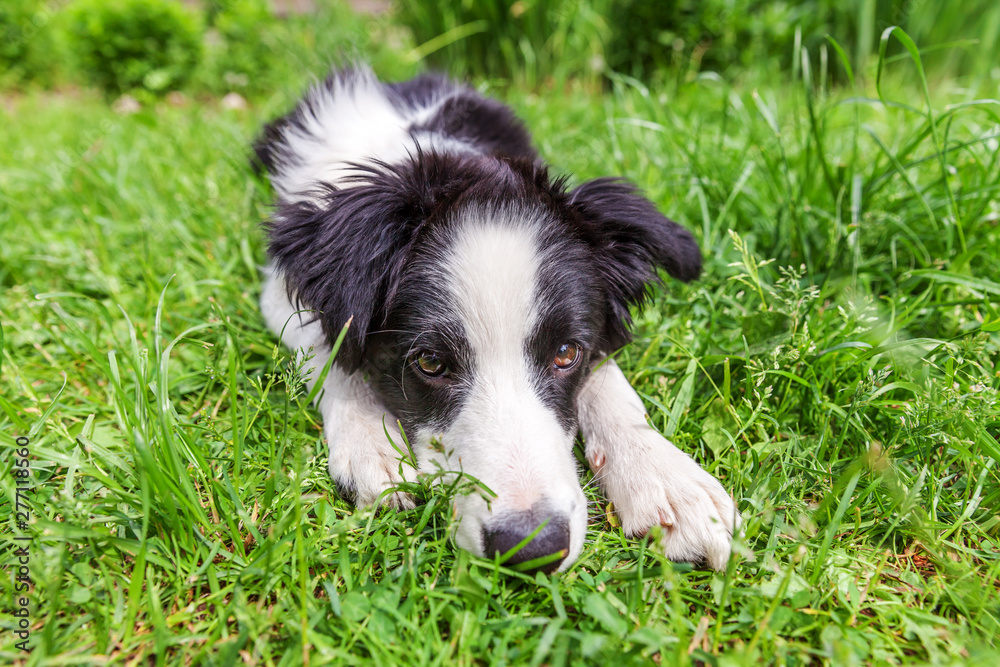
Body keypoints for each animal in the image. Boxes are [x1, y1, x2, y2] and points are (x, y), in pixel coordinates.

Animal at [256, 68, 744, 576]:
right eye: (429, 362)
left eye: (566, 353)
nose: (532, 547)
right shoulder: (279, 289)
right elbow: (331, 346)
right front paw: (372, 440)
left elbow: (607, 378)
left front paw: (668, 479)